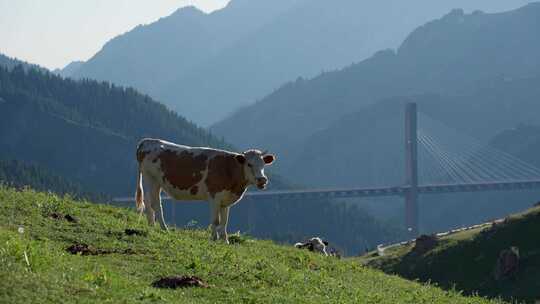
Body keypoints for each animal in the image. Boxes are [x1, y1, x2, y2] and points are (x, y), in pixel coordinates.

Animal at [133, 139, 276, 243]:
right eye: (249, 164)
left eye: (263, 164)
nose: (262, 180)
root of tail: (148, 141)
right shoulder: (214, 196)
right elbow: (216, 220)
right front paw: (214, 238)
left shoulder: (226, 200)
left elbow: (224, 222)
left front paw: (225, 241)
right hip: (151, 179)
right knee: (155, 203)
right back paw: (163, 228)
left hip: (152, 181)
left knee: (148, 201)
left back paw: (152, 225)